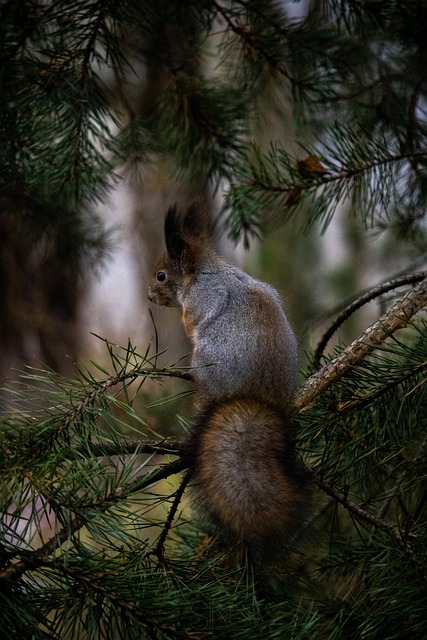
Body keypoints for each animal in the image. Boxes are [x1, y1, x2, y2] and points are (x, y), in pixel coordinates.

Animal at [149, 202, 306, 564]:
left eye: (161, 275)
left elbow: (192, 317)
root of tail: (261, 396)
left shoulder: (201, 300)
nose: (148, 295)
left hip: (205, 362)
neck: (203, 273)